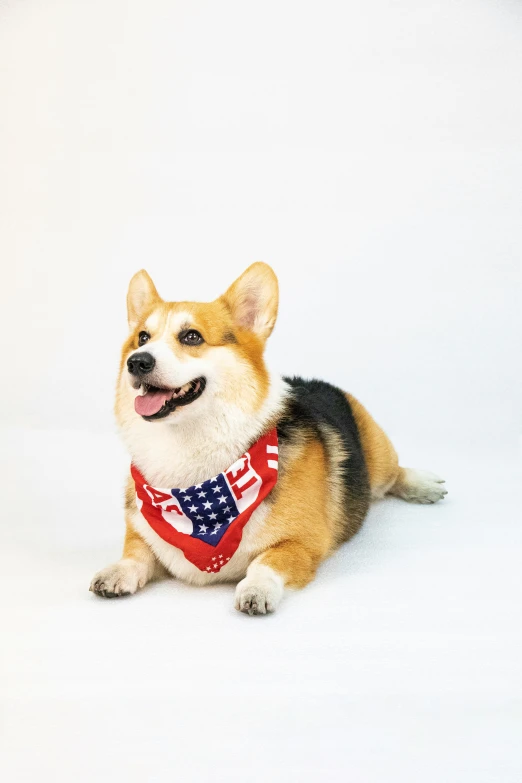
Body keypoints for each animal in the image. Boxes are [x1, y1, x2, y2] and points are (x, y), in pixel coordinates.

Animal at [88, 266, 442, 616]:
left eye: (191, 337)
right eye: (142, 338)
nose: (137, 361)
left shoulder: (301, 543)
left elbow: (265, 562)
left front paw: (256, 590)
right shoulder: (143, 532)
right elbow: (136, 554)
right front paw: (117, 571)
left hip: (377, 457)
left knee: (395, 474)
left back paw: (424, 485)